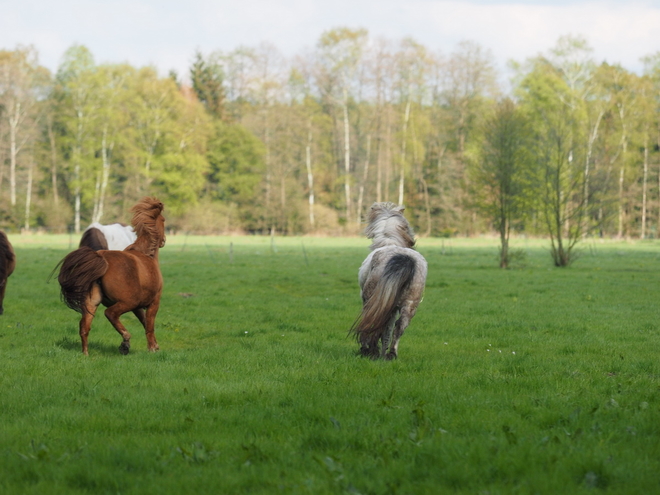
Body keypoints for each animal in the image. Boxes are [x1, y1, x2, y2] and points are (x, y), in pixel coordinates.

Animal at [56, 198, 168, 356]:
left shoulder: (138, 307)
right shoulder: (153, 303)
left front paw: (155, 345)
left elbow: (145, 323)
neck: (146, 254)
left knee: (84, 327)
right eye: (163, 220)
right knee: (110, 314)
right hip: (127, 302)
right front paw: (152, 347)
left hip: (92, 303)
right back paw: (125, 342)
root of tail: (101, 261)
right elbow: (150, 326)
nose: (164, 240)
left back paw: (86, 353)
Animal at [350, 202, 428, 360]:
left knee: (375, 323)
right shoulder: (393, 307)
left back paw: (370, 350)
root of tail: (404, 258)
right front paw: (383, 352)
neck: (390, 241)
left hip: (372, 299)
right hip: (409, 304)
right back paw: (391, 354)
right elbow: (388, 329)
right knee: (399, 327)